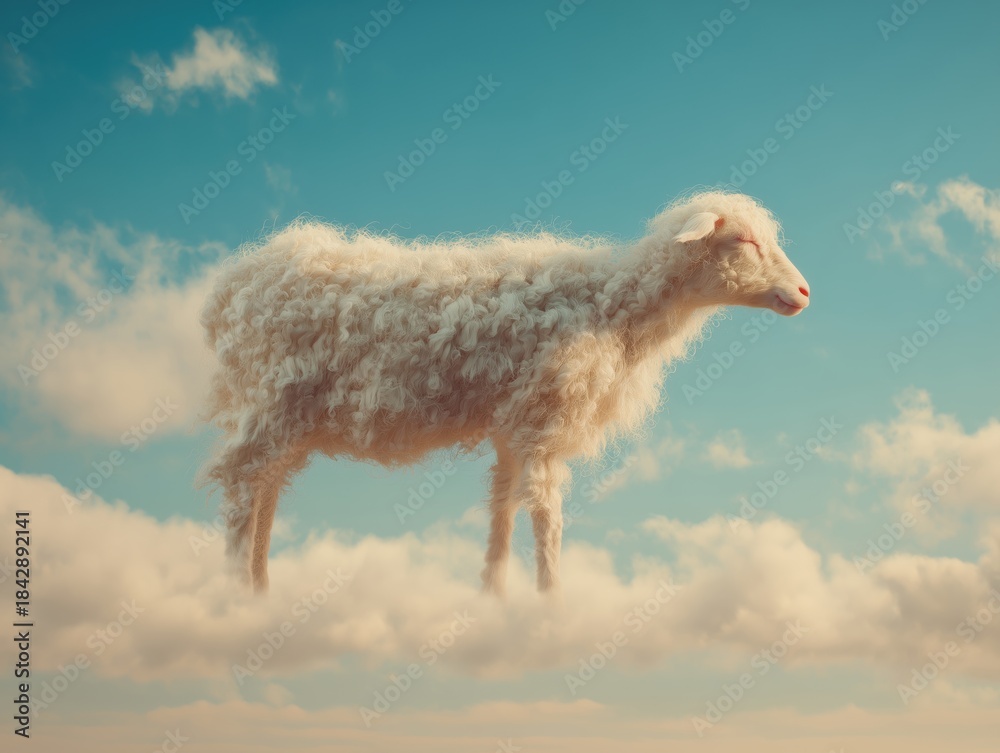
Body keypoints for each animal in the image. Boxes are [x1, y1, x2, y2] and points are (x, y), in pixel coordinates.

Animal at [198, 190, 810, 596]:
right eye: (743, 240)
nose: (804, 292)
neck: (613, 307)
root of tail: (227, 290)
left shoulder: (511, 427)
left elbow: (502, 510)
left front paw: (495, 598)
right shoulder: (542, 421)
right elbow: (545, 515)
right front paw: (550, 604)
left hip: (286, 416)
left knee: (267, 490)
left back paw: (260, 590)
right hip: (270, 401)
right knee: (240, 483)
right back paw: (235, 596)